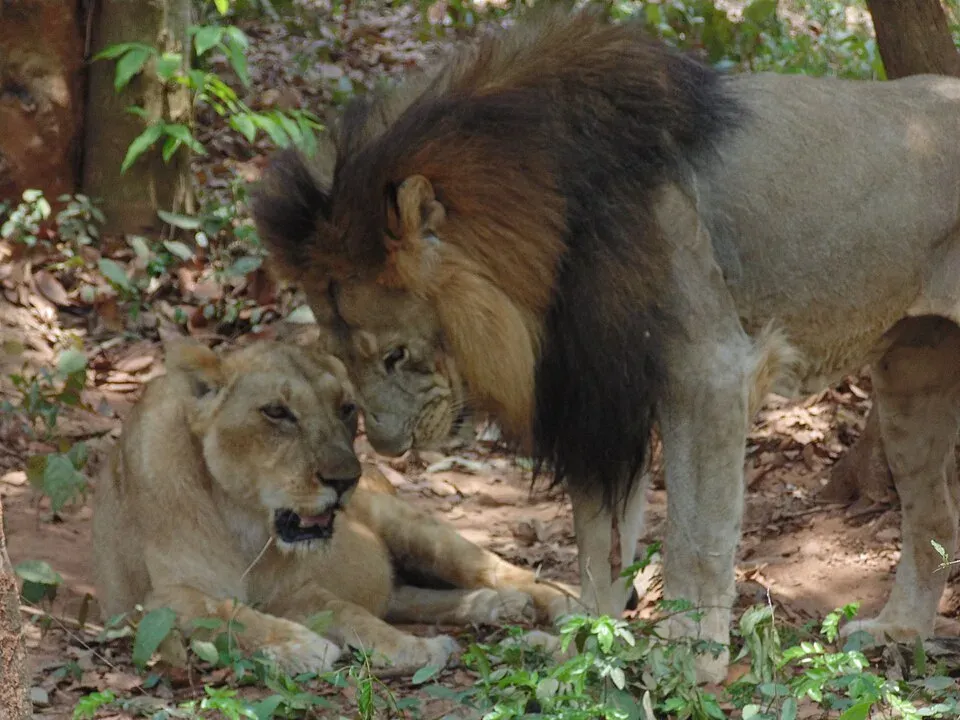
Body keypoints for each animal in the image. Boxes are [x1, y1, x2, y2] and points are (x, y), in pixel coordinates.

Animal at [92, 337, 576, 675]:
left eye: (346, 408)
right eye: (276, 412)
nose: (345, 481)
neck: (244, 520)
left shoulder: (294, 589)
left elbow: (350, 612)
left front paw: (417, 649)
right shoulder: (156, 601)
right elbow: (228, 613)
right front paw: (304, 646)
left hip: (413, 529)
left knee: (496, 570)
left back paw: (550, 604)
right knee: (406, 597)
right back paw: (497, 605)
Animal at [250, 7, 960, 683]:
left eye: (395, 354)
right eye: (346, 361)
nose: (389, 448)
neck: (549, 235)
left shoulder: (709, 372)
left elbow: (694, 534)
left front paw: (691, 660)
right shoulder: (592, 391)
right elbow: (595, 543)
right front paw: (581, 648)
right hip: (911, 376)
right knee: (933, 517)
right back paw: (898, 631)